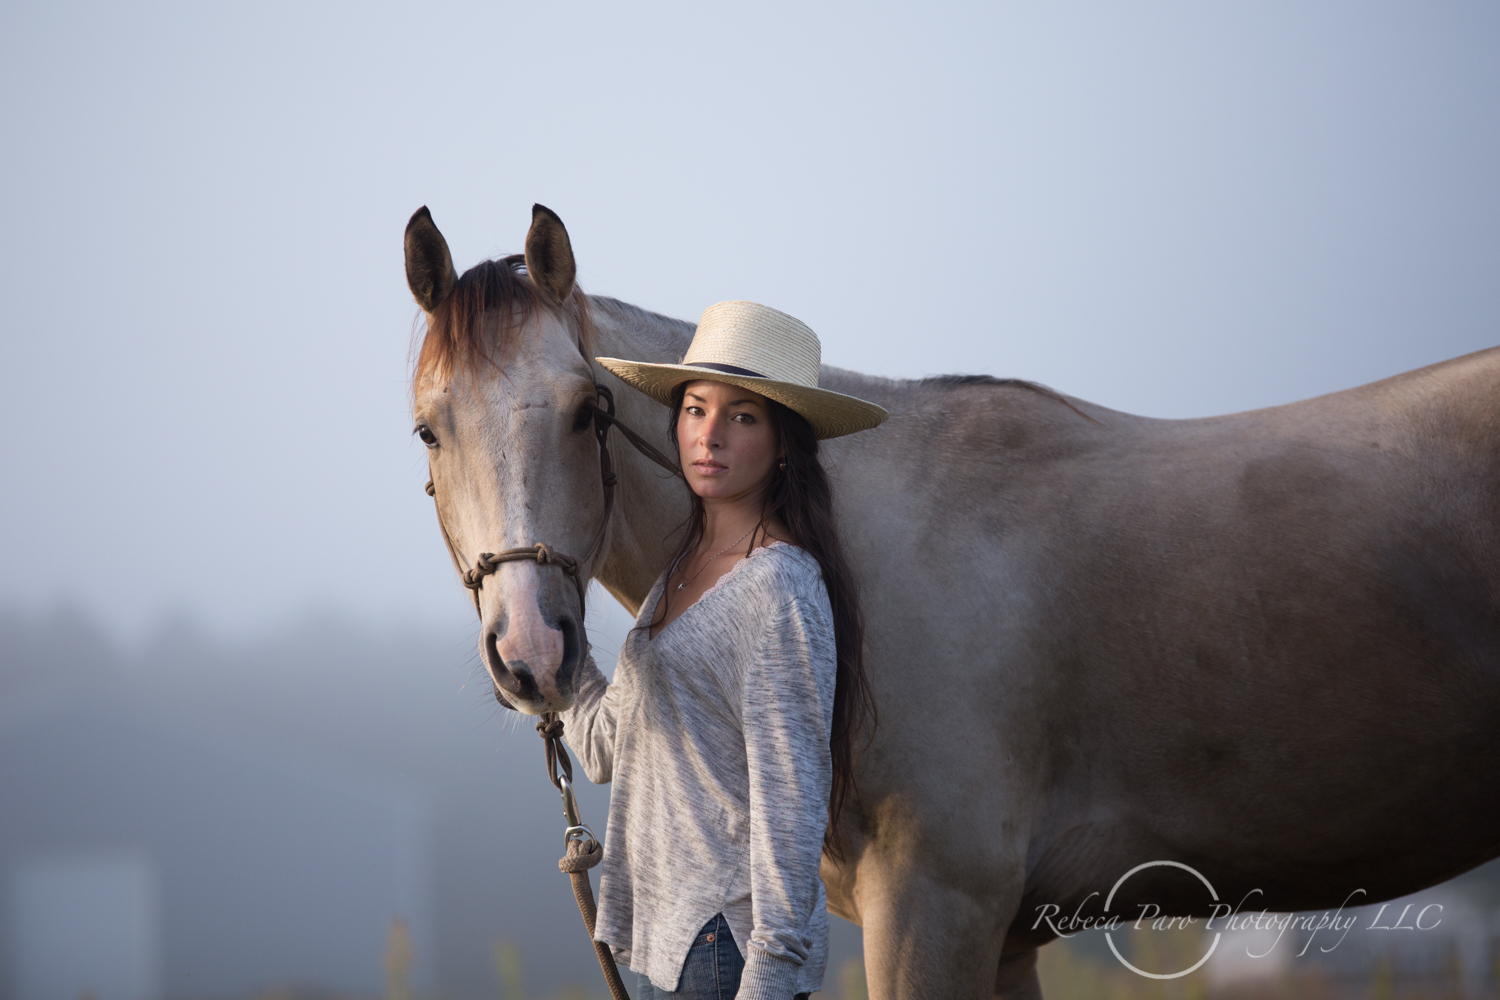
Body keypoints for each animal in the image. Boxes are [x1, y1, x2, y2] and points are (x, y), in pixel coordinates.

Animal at [403, 203, 1500, 999]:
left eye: (588, 410)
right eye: (428, 430)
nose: (534, 650)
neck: (866, 561)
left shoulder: (938, 911)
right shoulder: (1006, 935)